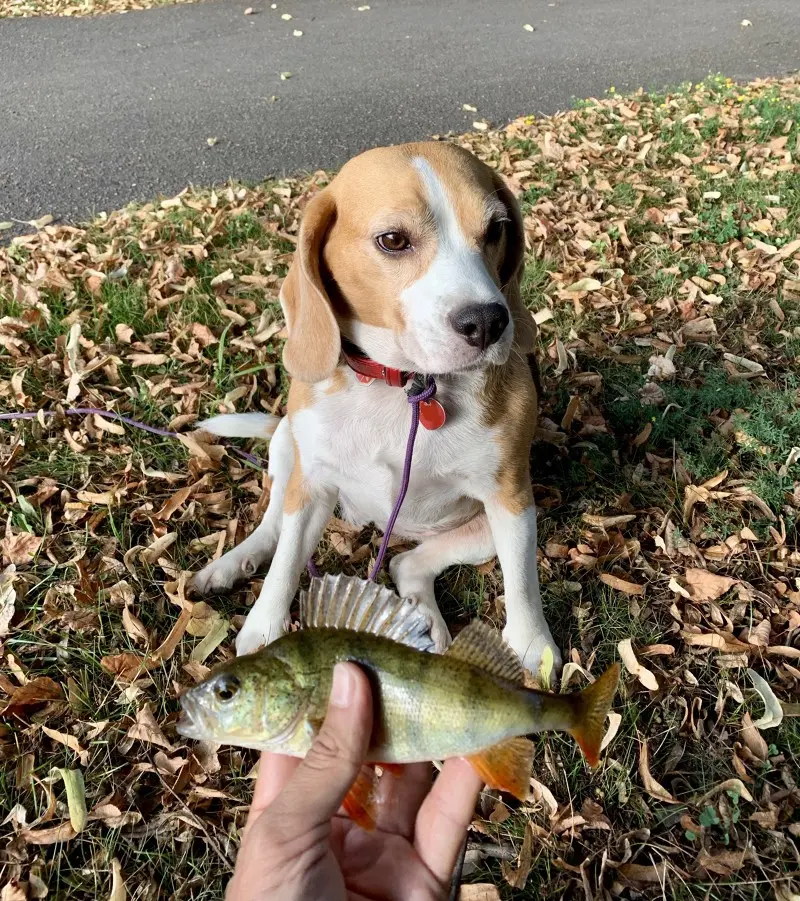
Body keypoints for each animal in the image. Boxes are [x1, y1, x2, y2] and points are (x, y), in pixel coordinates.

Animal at [194, 141, 560, 672]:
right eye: (392, 240)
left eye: (496, 229)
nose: (489, 323)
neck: (406, 386)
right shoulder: (312, 483)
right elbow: (285, 562)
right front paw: (264, 629)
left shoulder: (512, 500)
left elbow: (523, 584)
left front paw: (533, 646)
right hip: (287, 447)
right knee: (273, 526)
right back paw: (232, 562)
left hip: (491, 527)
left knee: (407, 564)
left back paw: (424, 616)